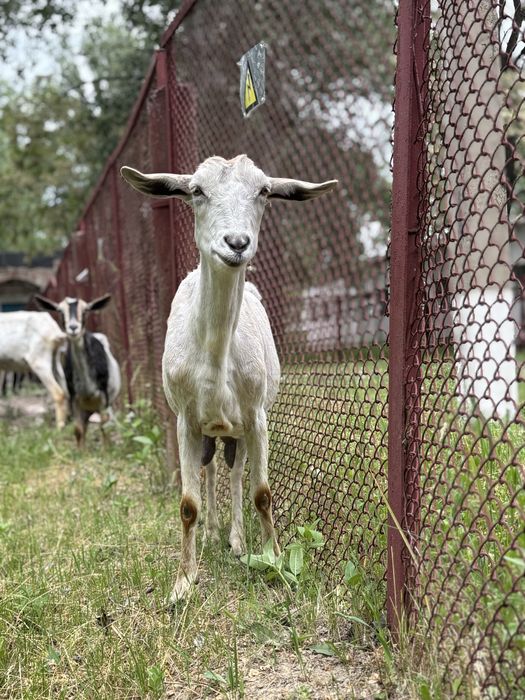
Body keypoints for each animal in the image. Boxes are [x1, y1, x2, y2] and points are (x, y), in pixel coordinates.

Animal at [35, 294, 121, 446]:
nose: (73, 327)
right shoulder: (75, 399)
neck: (88, 389)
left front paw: (107, 449)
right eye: (60, 311)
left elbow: (104, 427)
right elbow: (78, 430)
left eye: (85, 311)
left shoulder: (103, 398)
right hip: (86, 410)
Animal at [121, 154, 337, 601]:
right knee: (210, 467)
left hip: (237, 427)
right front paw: (182, 583)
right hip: (209, 429)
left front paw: (276, 562)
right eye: (196, 190)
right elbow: (187, 503)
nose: (236, 243)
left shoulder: (256, 416)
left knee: (234, 470)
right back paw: (212, 533)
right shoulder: (185, 419)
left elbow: (262, 494)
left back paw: (236, 541)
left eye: (264, 191)